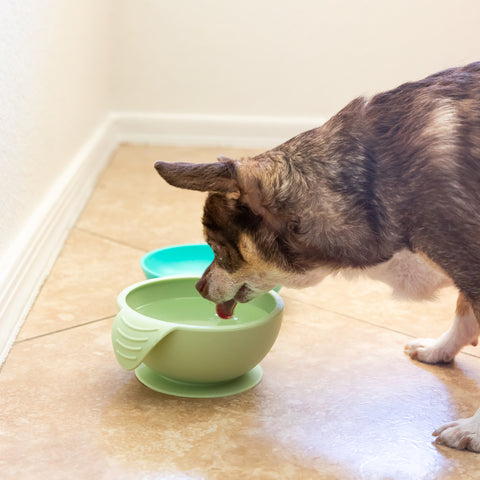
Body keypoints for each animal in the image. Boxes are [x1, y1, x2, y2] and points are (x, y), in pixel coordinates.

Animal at [155, 62, 480, 452]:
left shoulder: (469, 263)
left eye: (216, 248)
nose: (199, 287)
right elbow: (463, 311)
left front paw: (474, 430)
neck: (371, 184)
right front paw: (440, 349)